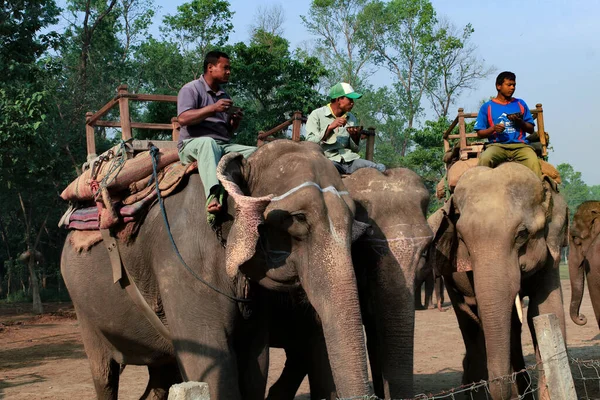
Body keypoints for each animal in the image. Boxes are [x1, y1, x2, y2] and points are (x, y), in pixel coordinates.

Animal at [61, 141, 370, 400]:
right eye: (297, 219)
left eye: (354, 220)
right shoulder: (183, 262)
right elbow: (213, 361)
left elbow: (255, 364)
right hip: (84, 309)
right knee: (104, 375)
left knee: (160, 377)